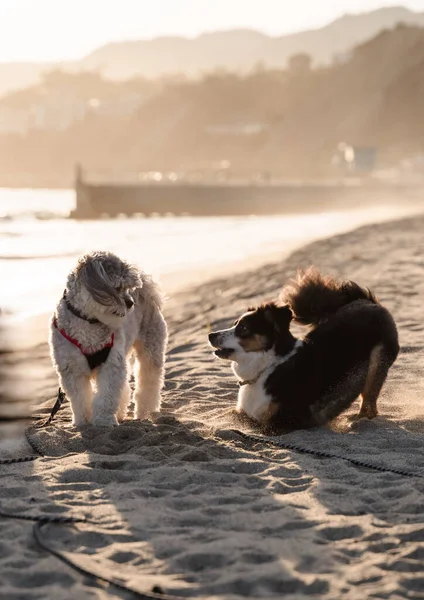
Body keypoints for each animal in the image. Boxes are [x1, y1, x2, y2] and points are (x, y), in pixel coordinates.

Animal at [49, 251, 167, 428]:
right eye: (117, 287)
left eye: (127, 288)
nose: (130, 302)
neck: (88, 321)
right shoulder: (72, 370)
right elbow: (80, 399)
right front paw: (82, 423)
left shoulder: (110, 365)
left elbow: (107, 396)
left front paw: (104, 420)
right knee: (125, 388)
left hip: (151, 347)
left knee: (149, 381)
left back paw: (145, 413)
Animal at [210, 270, 400, 434]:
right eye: (234, 324)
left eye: (243, 328)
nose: (211, 335)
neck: (269, 367)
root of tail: (367, 301)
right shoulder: (243, 412)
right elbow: (227, 414)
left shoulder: (285, 420)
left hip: (377, 362)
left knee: (369, 404)